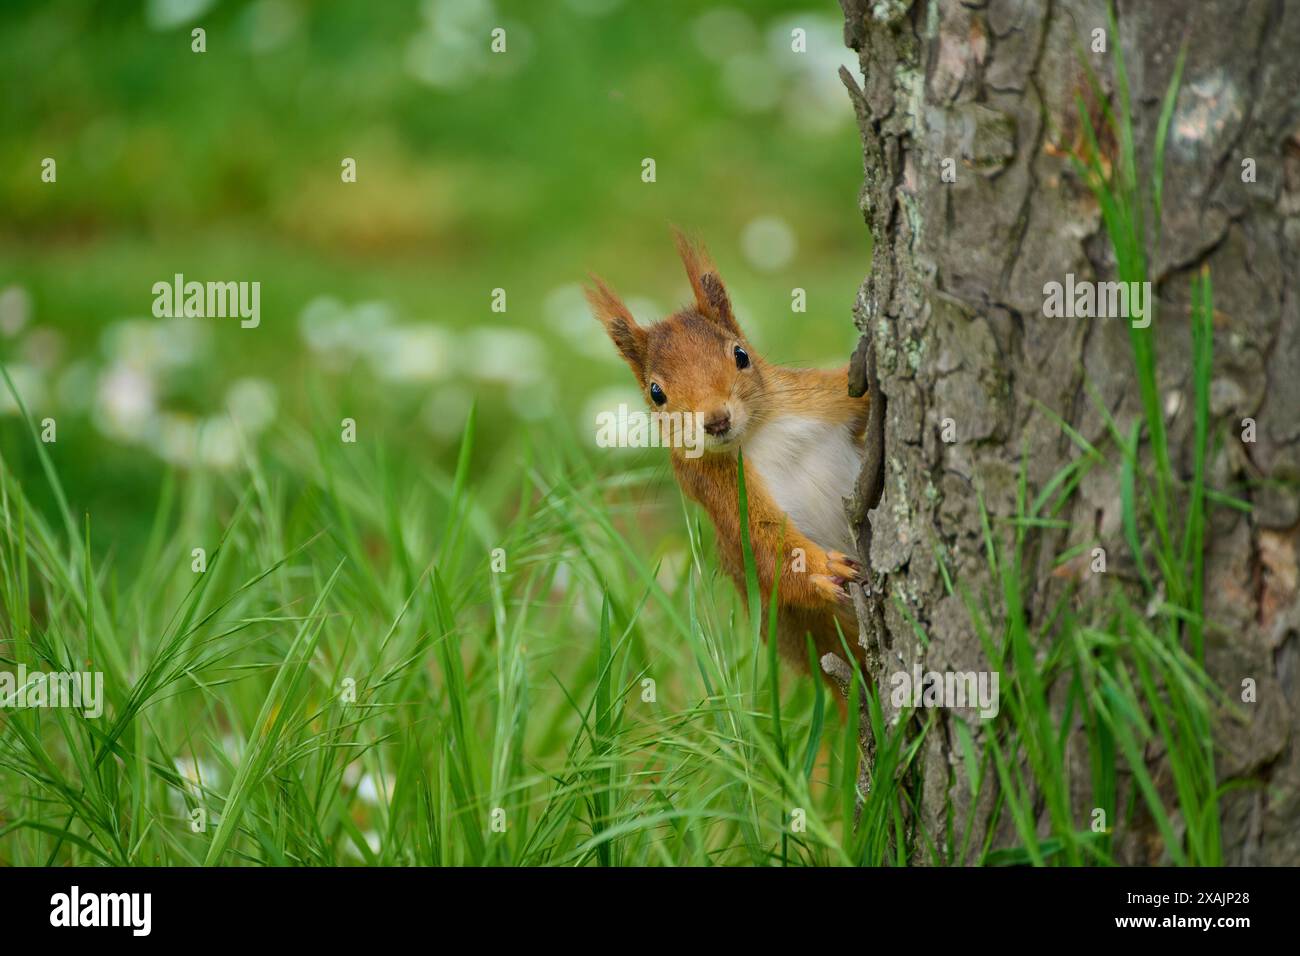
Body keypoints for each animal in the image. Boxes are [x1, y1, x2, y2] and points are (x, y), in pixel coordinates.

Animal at [590, 234, 873, 671]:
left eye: (741, 355)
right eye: (656, 393)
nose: (716, 420)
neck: (758, 434)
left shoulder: (823, 397)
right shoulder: (716, 487)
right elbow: (762, 543)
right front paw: (824, 569)